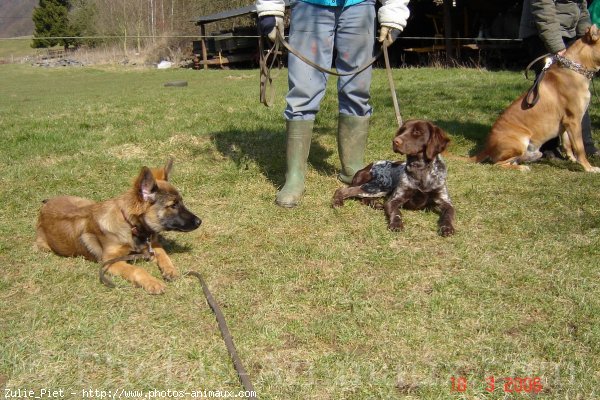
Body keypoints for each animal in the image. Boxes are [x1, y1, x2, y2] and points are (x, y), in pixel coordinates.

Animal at [36, 159, 203, 294]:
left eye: (181, 202)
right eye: (173, 205)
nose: (199, 221)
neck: (131, 226)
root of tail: (46, 204)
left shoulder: (151, 244)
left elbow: (163, 254)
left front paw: (170, 270)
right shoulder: (109, 262)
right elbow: (136, 269)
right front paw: (152, 282)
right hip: (44, 246)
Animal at [474, 25, 600, 172]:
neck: (576, 69)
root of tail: (487, 147)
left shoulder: (566, 122)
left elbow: (567, 144)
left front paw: (572, 160)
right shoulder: (574, 120)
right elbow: (580, 148)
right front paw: (588, 167)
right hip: (519, 142)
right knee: (498, 164)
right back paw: (522, 168)